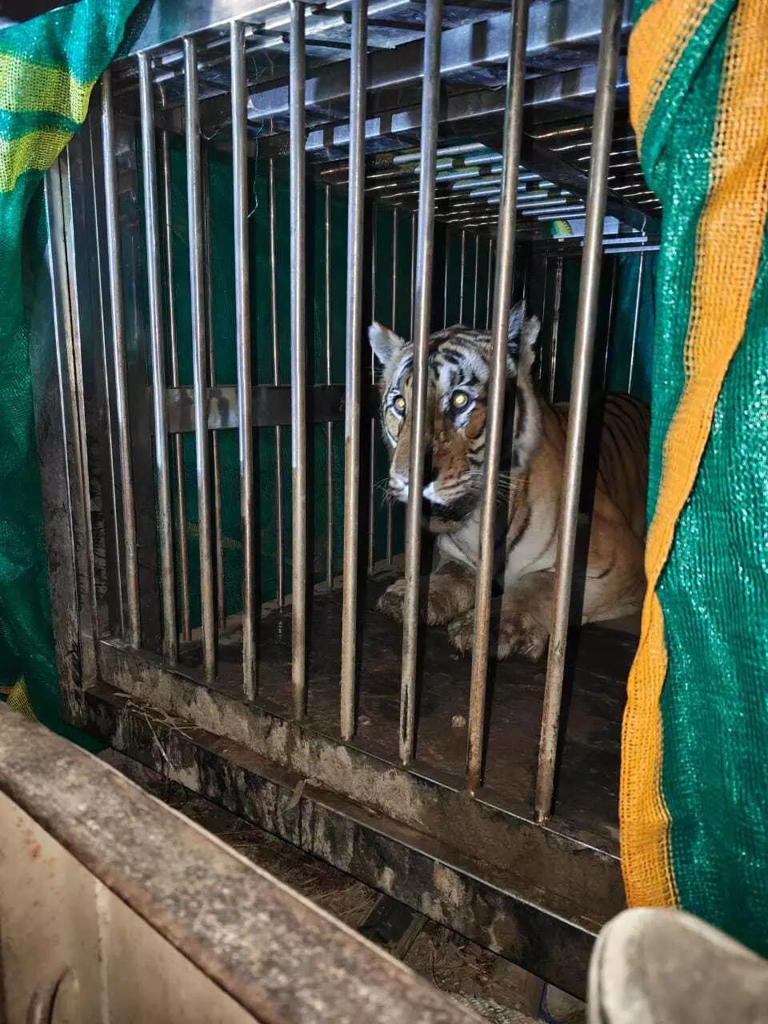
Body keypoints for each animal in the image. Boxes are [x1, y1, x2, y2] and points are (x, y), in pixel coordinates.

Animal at [368, 301, 649, 661]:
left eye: (460, 400)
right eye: (400, 404)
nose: (408, 479)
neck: (479, 524)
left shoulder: (619, 559)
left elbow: (541, 584)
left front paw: (490, 628)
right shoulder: (458, 553)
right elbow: (450, 573)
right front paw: (410, 594)